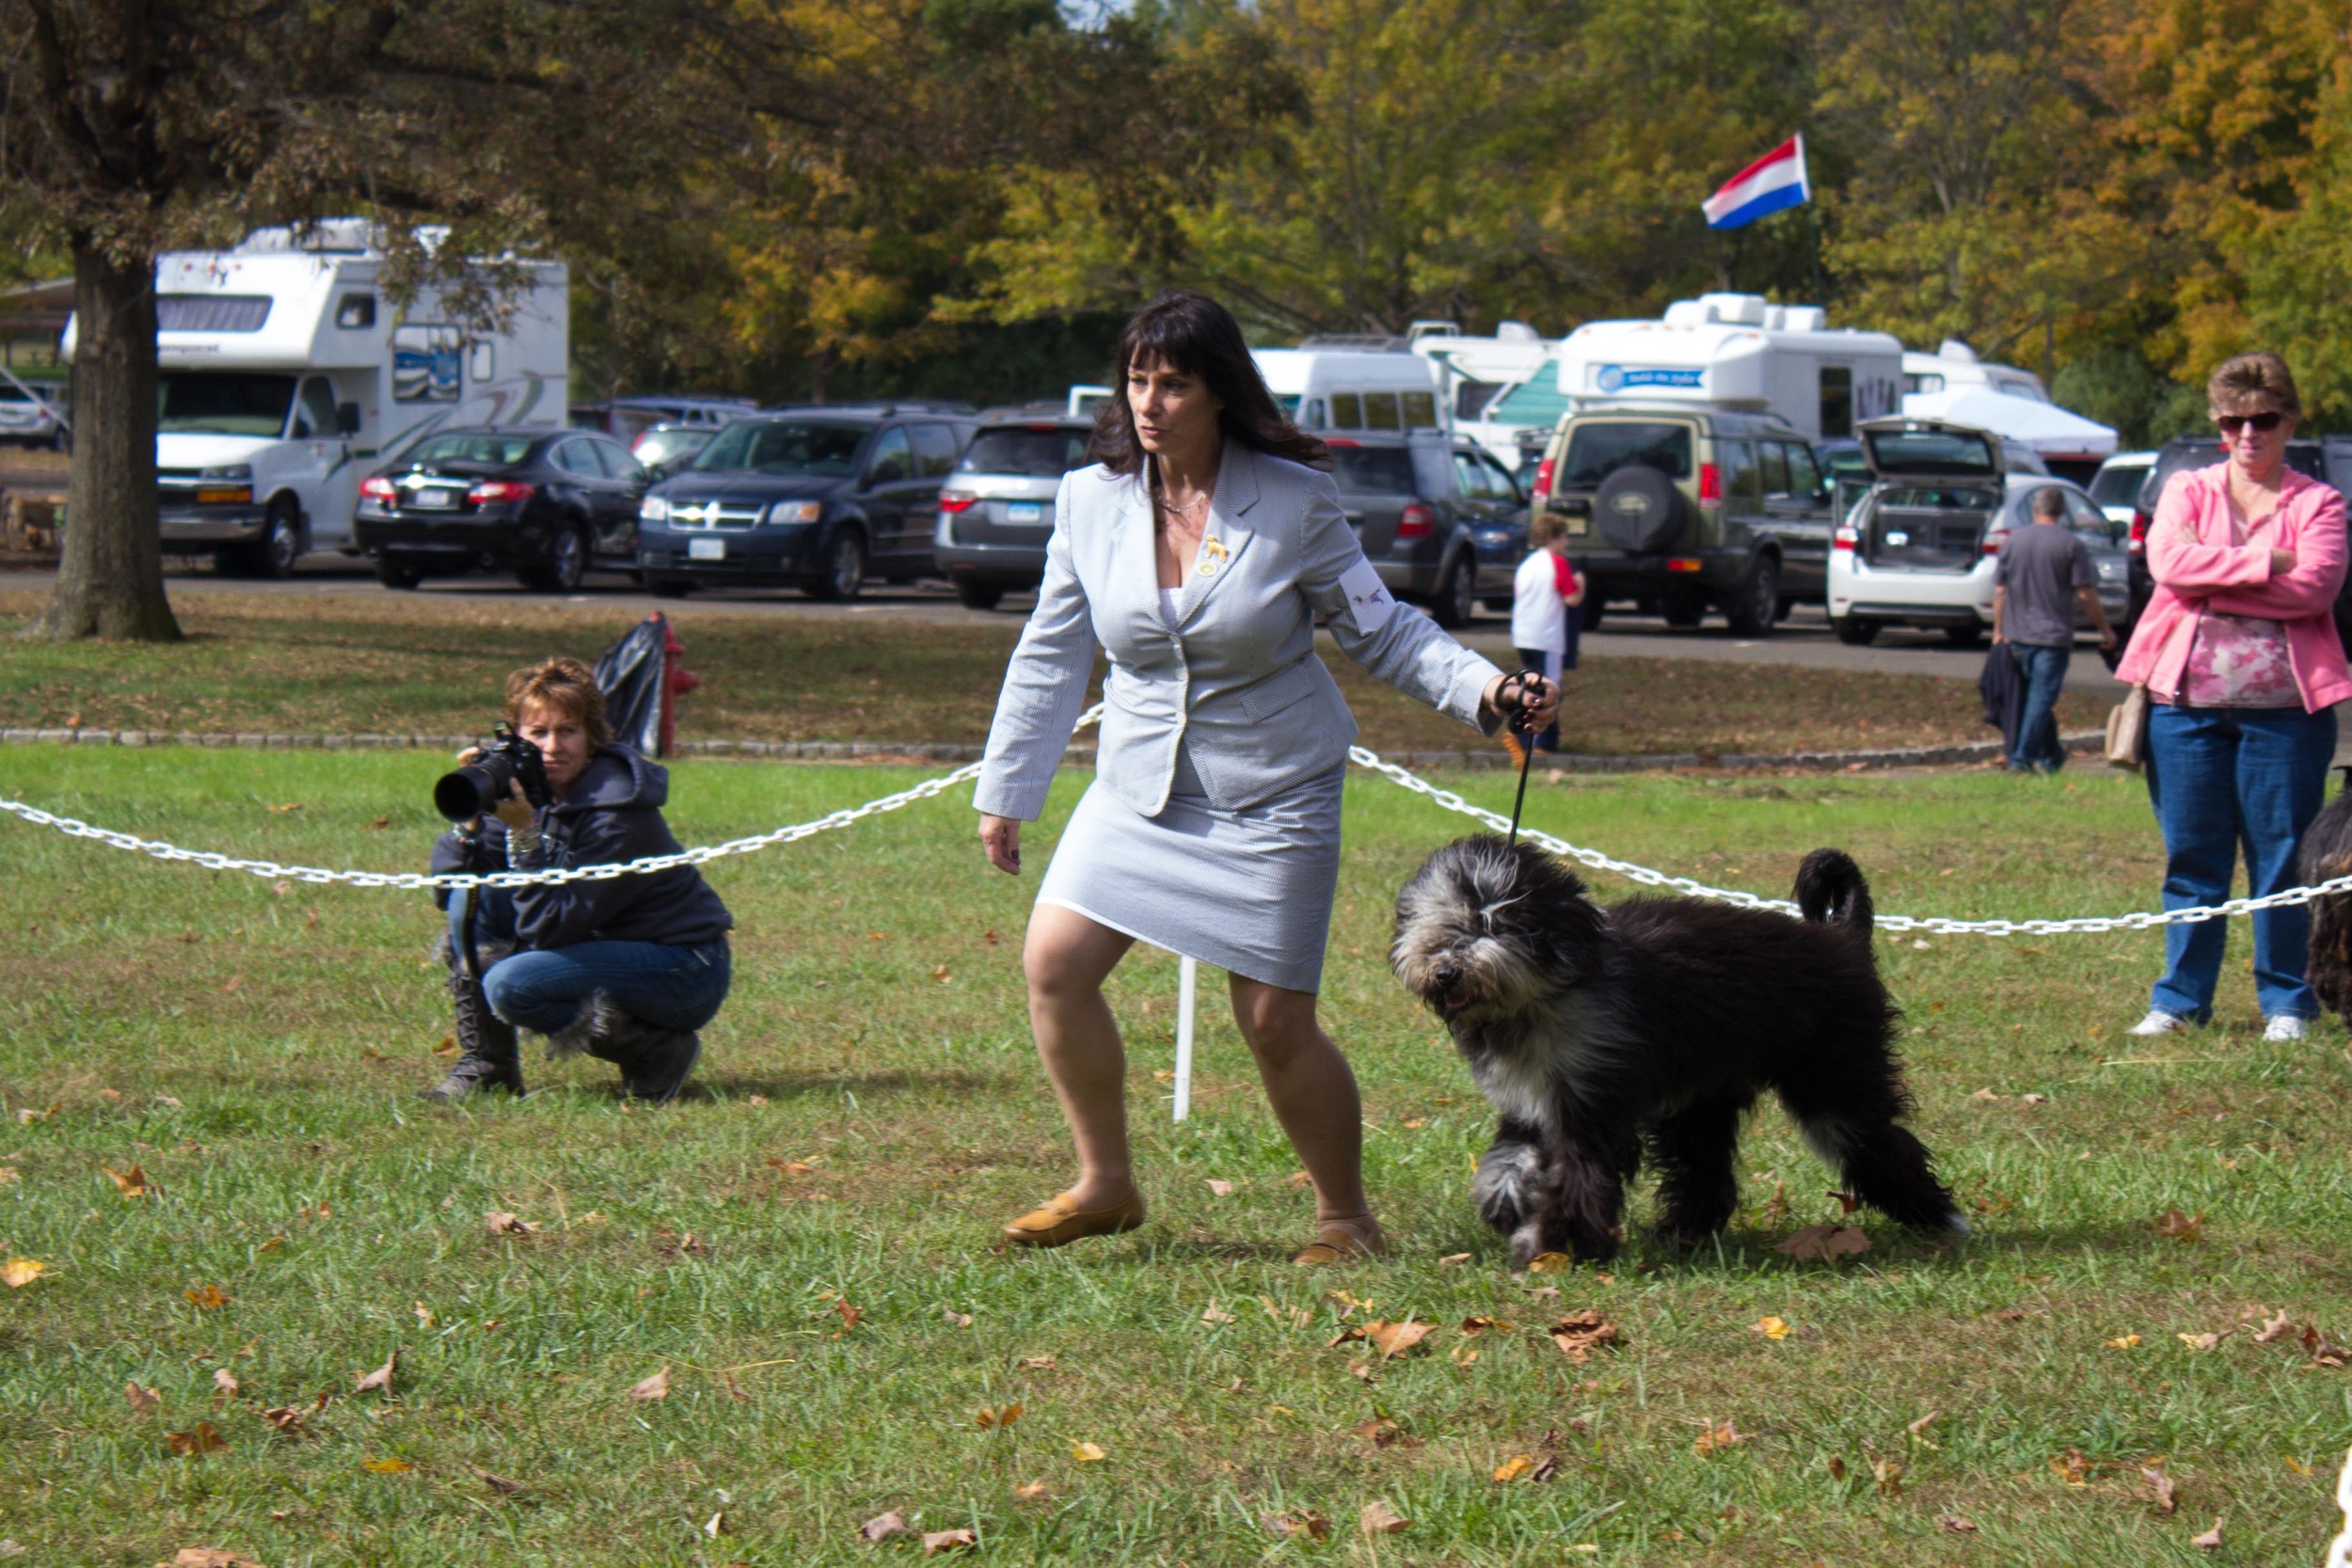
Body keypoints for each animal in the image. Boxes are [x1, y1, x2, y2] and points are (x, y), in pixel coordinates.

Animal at [1392, 832, 1966, 1259]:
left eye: (1493, 918)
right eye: (1436, 920)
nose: (1445, 970)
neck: (1542, 999)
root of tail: (1839, 937)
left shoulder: (1596, 1101)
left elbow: (1579, 1176)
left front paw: (1550, 1242)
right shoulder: (1538, 1099)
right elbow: (1510, 1157)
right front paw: (1506, 1201)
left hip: (1835, 1075)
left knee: (1876, 1142)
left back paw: (1942, 1218)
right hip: (1703, 1098)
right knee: (1706, 1172)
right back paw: (1683, 1233)